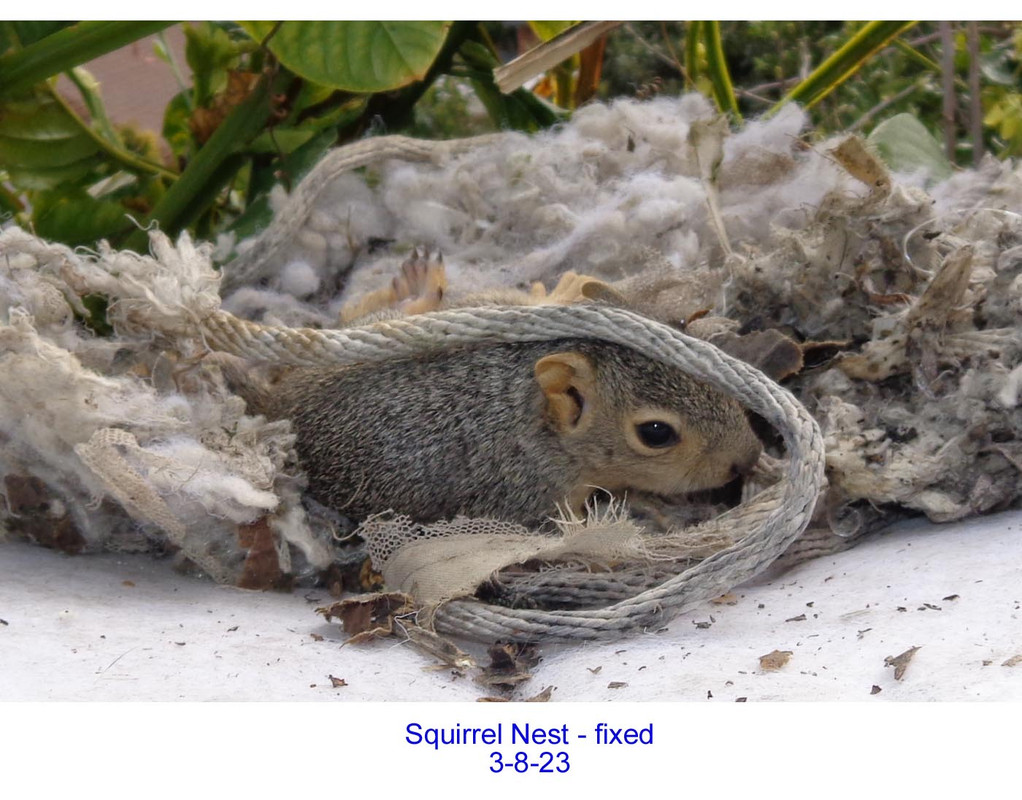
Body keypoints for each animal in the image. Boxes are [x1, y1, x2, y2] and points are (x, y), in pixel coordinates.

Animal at [231, 251, 763, 528]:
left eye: (684, 334)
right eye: (655, 433)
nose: (749, 457)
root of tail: (282, 403)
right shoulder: (527, 499)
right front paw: (641, 505)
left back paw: (419, 285)